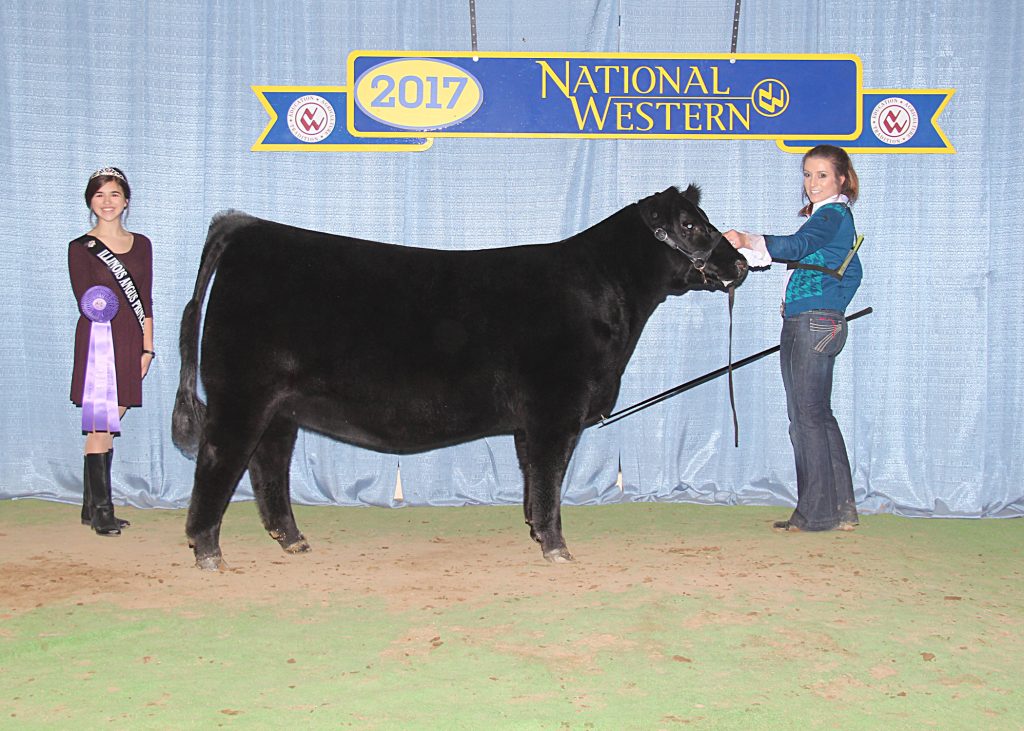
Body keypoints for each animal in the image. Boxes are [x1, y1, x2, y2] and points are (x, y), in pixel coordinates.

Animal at [172, 185, 748, 570]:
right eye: (691, 226)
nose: (740, 263)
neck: (604, 292)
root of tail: (247, 226)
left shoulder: (531, 421)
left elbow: (534, 481)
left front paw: (536, 533)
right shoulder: (555, 410)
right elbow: (550, 479)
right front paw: (557, 548)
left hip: (281, 406)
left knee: (268, 466)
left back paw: (292, 539)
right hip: (241, 395)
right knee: (219, 461)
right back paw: (208, 551)